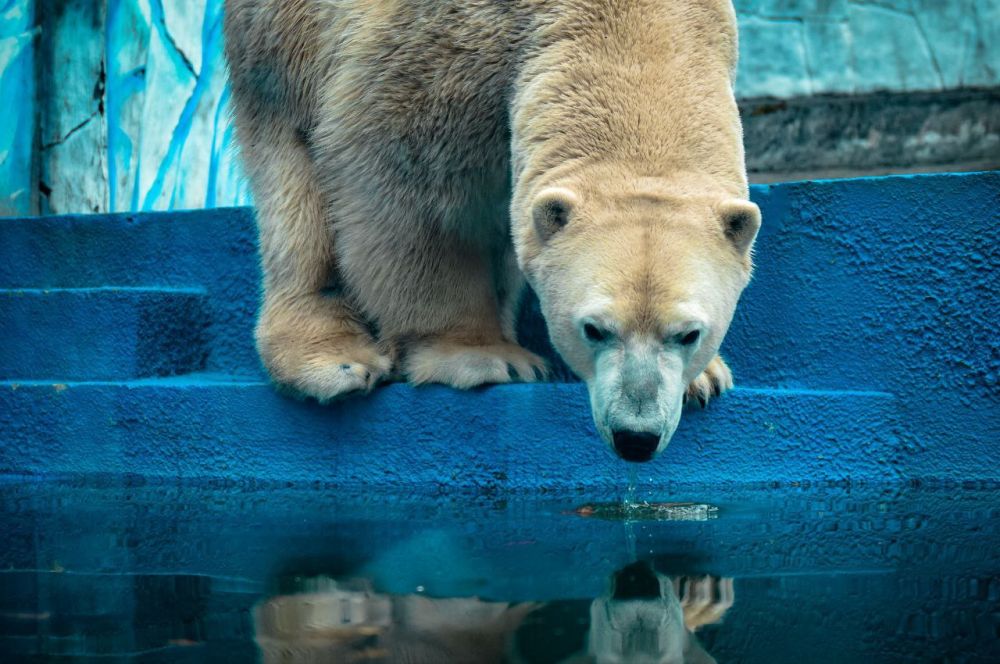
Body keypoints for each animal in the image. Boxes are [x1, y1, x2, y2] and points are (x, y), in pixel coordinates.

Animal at [225, 0, 756, 462]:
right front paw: (481, 356)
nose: (636, 438)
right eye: (594, 329)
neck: (635, 23)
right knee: (295, 186)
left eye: (688, 334)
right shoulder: (439, 54)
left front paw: (706, 378)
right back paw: (335, 361)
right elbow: (411, 191)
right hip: (281, 41)